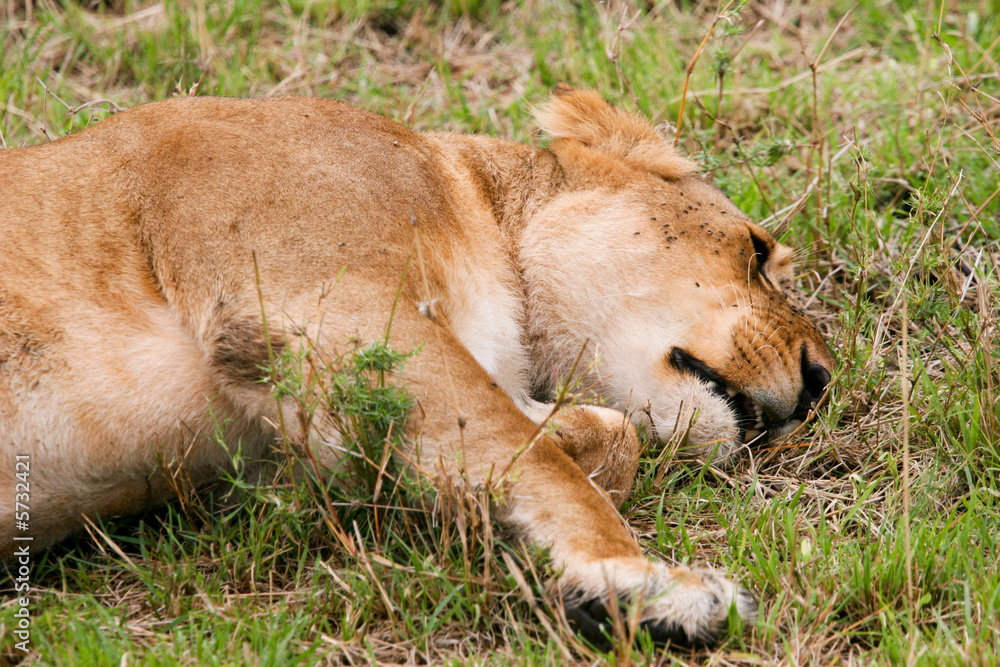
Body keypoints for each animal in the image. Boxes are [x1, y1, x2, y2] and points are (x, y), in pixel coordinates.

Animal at [0, 86, 833, 648]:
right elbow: (540, 456)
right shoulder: (334, 302)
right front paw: (642, 586)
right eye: (757, 250)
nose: (822, 380)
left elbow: (597, 435)